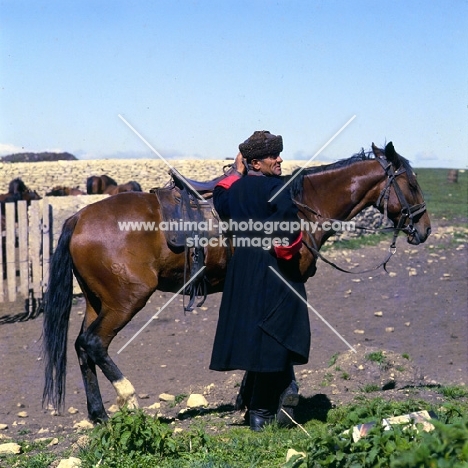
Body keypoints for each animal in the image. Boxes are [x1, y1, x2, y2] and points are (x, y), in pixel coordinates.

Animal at [42, 141, 430, 422]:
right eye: (412, 183)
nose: (424, 229)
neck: (302, 206)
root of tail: (78, 217)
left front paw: (248, 399)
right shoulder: (287, 283)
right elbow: (280, 337)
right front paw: (285, 401)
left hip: (98, 301)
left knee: (81, 346)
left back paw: (100, 415)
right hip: (126, 300)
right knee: (94, 343)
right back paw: (129, 399)